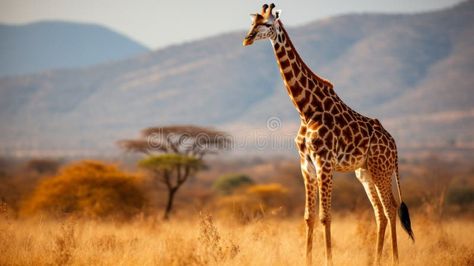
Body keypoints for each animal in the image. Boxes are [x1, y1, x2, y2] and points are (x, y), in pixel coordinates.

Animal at [243, 3, 412, 264]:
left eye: (267, 24)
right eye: (252, 23)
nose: (247, 39)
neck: (306, 110)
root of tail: (394, 145)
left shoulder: (325, 162)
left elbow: (325, 217)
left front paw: (328, 259)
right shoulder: (306, 164)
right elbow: (309, 217)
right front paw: (307, 259)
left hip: (380, 169)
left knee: (390, 208)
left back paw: (394, 259)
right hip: (364, 172)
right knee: (380, 213)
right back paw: (376, 259)